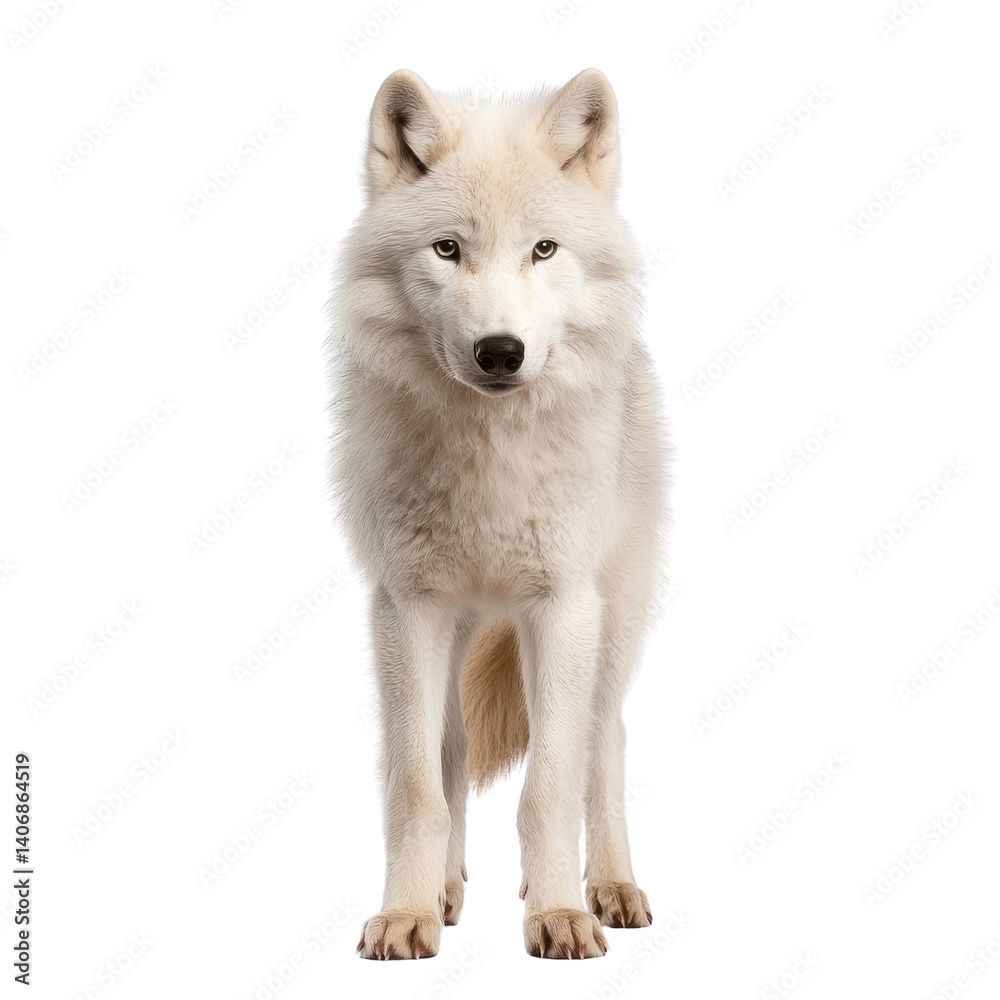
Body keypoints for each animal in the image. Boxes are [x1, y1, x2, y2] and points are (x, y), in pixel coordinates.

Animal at [329, 68, 669, 960]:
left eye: (542, 250)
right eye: (447, 249)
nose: (500, 352)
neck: (489, 462)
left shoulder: (561, 609)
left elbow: (548, 786)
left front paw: (557, 916)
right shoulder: (407, 608)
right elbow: (417, 784)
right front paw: (406, 915)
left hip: (611, 626)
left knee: (604, 743)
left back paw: (610, 888)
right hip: (456, 636)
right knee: (451, 751)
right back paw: (446, 891)